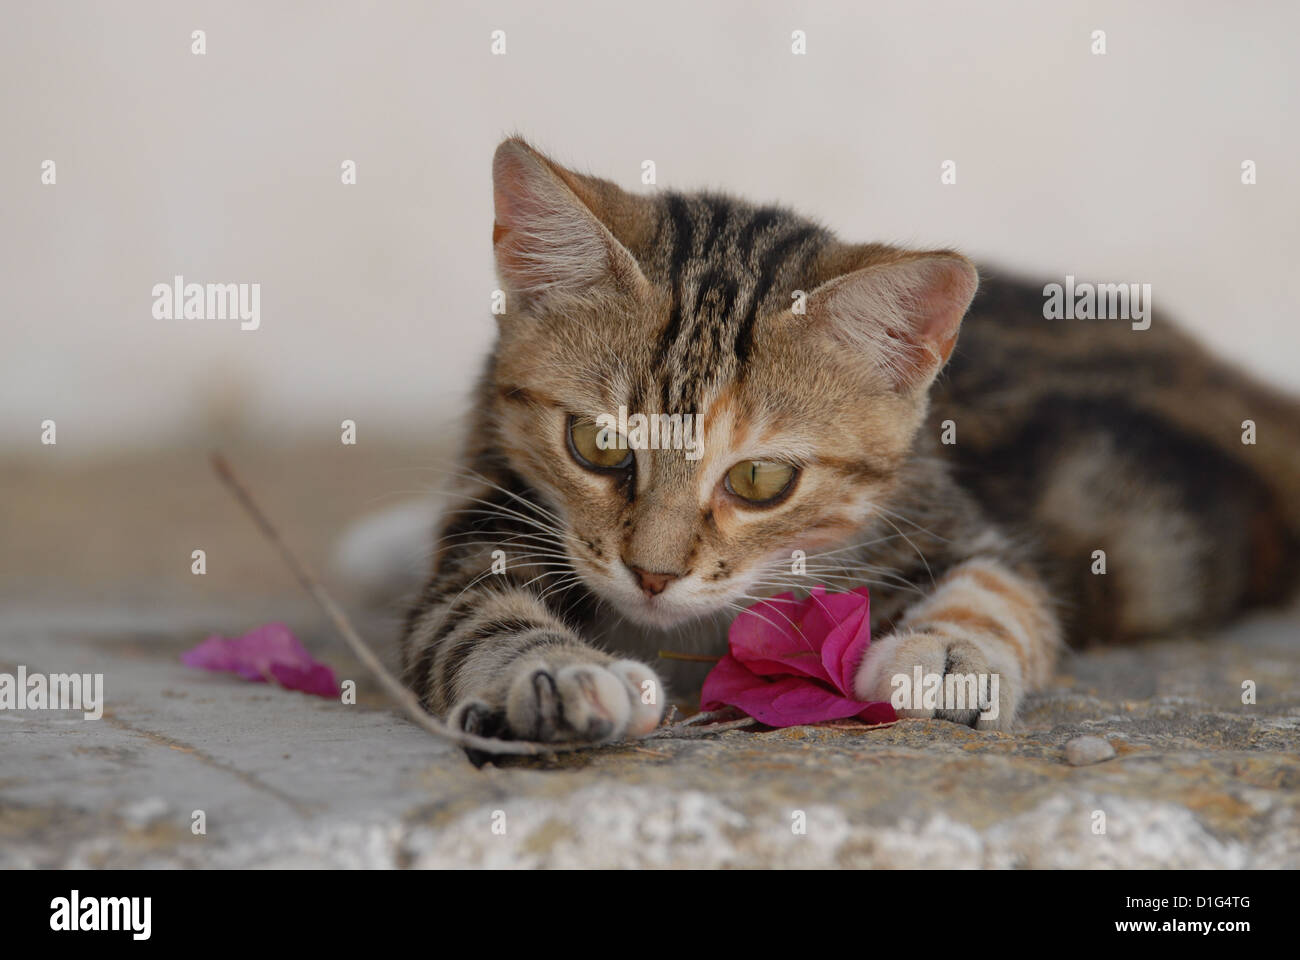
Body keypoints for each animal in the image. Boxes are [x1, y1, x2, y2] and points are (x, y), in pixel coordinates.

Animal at [397, 138, 1300, 744]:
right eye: (595, 444)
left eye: (760, 481)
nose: (652, 576)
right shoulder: (490, 508)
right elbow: (471, 618)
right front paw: (558, 675)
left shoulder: (940, 510)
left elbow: (1006, 587)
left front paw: (950, 653)